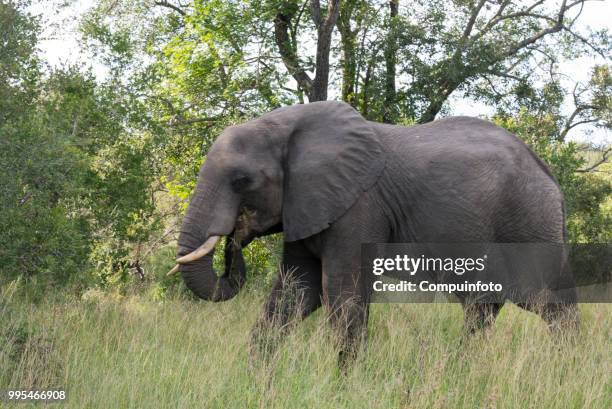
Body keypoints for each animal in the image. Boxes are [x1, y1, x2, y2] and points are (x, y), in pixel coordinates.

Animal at [169, 101, 580, 364]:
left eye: (242, 180)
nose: (235, 238)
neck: (287, 127)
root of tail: (549, 175)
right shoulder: (308, 204)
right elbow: (295, 291)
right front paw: (257, 379)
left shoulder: (358, 208)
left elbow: (341, 295)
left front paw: (343, 387)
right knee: (483, 306)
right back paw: (461, 368)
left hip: (529, 221)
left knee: (549, 303)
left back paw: (566, 373)